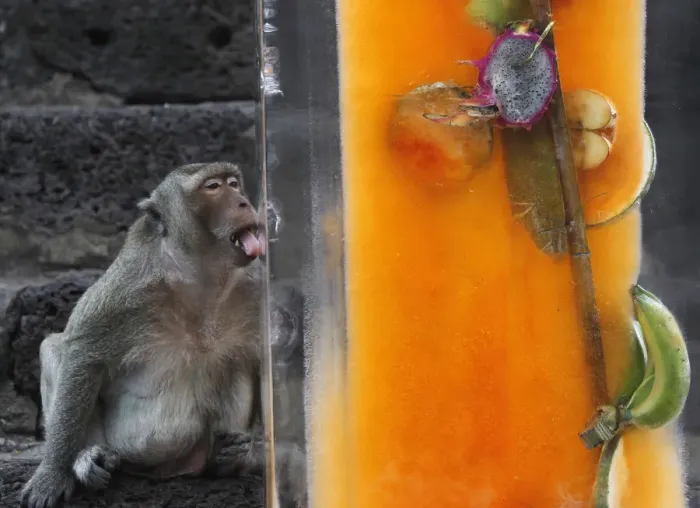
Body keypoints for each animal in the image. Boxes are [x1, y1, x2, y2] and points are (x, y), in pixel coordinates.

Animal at [20, 162, 305, 508]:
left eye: (234, 184)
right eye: (213, 187)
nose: (244, 202)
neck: (199, 275)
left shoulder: (256, 288)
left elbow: (273, 360)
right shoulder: (127, 287)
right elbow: (83, 354)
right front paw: (53, 472)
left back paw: (238, 458)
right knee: (55, 348)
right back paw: (89, 459)